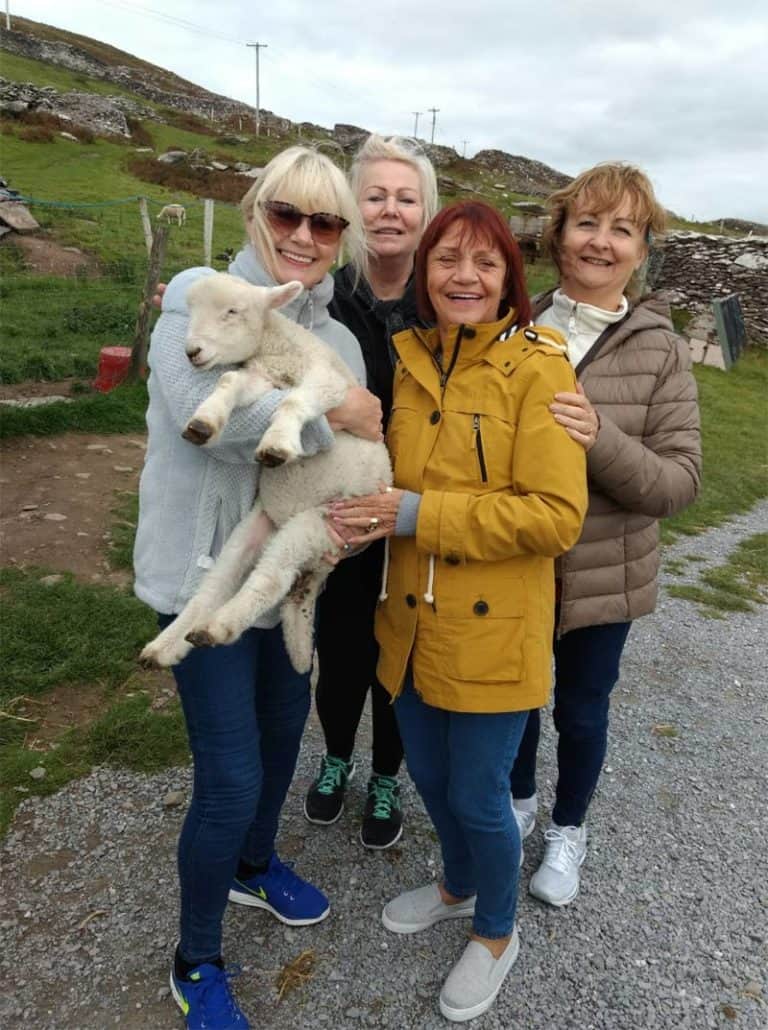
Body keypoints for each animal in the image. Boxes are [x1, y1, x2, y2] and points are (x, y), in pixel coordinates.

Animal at [137, 273, 391, 675]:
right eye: (191, 310)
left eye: (232, 312)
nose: (191, 352)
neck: (278, 348)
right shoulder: (261, 378)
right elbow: (228, 381)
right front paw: (203, 423)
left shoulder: (328, 381)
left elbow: (293, 400)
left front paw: (276, 444)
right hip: (256, 528)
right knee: (214, 586)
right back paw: (169, 645)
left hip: (317, 523)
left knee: (272, 580)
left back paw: (217, 627)